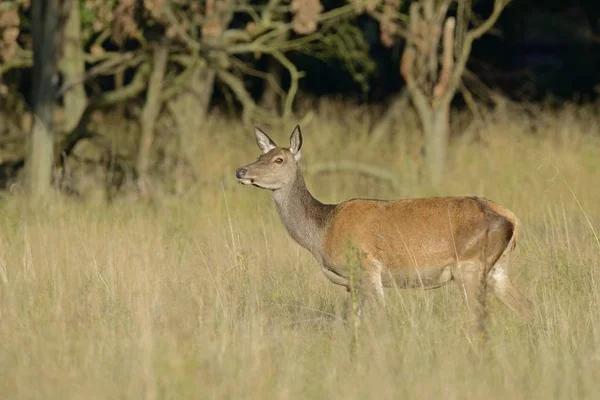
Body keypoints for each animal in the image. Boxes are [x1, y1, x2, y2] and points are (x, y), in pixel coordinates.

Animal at [234, 125, 536, 338]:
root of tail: (512, 218)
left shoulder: (368, 267)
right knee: (526, 307)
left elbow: (379, 319)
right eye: (260, 155)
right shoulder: (351, 284)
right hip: (497, 269)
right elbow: (350, 324)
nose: (241, 171)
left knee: (480, 319)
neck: (322, 233)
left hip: (469, 265)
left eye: (279, 159)